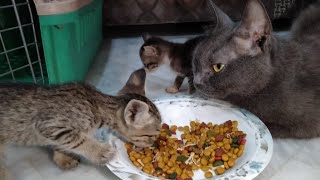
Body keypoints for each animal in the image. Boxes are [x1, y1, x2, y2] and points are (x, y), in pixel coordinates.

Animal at [0, 68, 160, 177]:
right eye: (151, 136)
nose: (153, 145)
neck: (98, 105)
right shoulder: (50, 125)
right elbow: (77, 140)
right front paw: (101, 152)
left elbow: (62, 144)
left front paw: (62, 158)